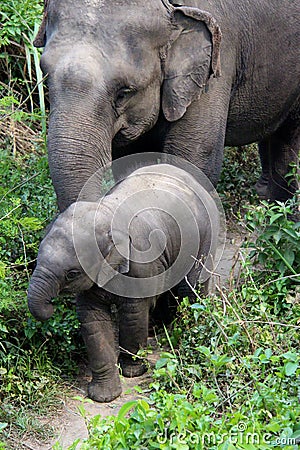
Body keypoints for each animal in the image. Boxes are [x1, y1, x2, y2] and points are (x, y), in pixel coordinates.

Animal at [27, 164, 220, 400]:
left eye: (72, 273)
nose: (50, 307)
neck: (106, 213)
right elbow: (93, 320)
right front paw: (104, 396)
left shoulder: (140, 264)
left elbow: (133, 314)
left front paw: (132, 371)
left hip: (205, 234)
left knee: (191, 287)